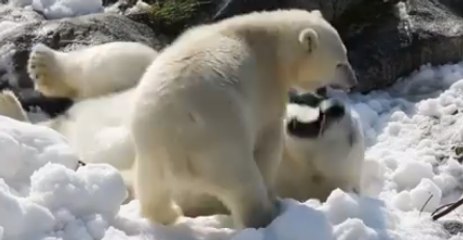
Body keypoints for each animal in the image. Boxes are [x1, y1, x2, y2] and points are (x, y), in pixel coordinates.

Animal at [130, 8, 358, 228]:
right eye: (339, 63)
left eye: (346, 55)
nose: (353, 82)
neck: (273, 45)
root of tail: (174, 141)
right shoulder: (264, 88)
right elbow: (268, 140)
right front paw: (272, 193)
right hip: (220, 145)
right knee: (244, 186)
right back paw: (266, 216)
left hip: (150, 150)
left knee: (151, 189)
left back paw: (168, 215)